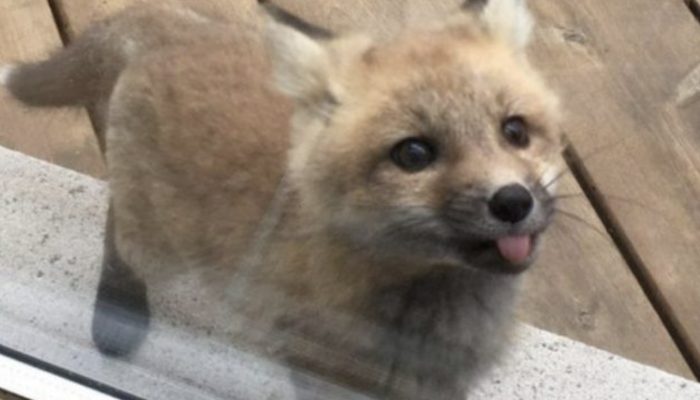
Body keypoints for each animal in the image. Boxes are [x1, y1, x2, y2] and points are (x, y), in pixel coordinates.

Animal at [2, 0, 562, 398]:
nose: (512, 202)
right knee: (118, 235)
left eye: (515, 131)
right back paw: (119, 310)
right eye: (414, 153)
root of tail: (172, 26)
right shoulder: (317, 369)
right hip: (158, 243)